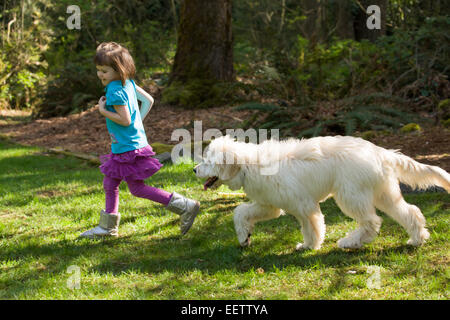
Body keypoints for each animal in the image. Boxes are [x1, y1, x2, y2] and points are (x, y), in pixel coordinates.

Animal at [194, 135, 450, 250]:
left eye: (208, 161)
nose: (195, 169)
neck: (249, 165)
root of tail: (379, 151)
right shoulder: (269, 204)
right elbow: (240, 212)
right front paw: (243, 235)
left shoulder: (304, 205)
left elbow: (312, 225)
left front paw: (312, 245)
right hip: (384, 192)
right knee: (410, 212)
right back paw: (417, 238)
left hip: (351, 195)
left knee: (371, 222)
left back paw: (350, 241)